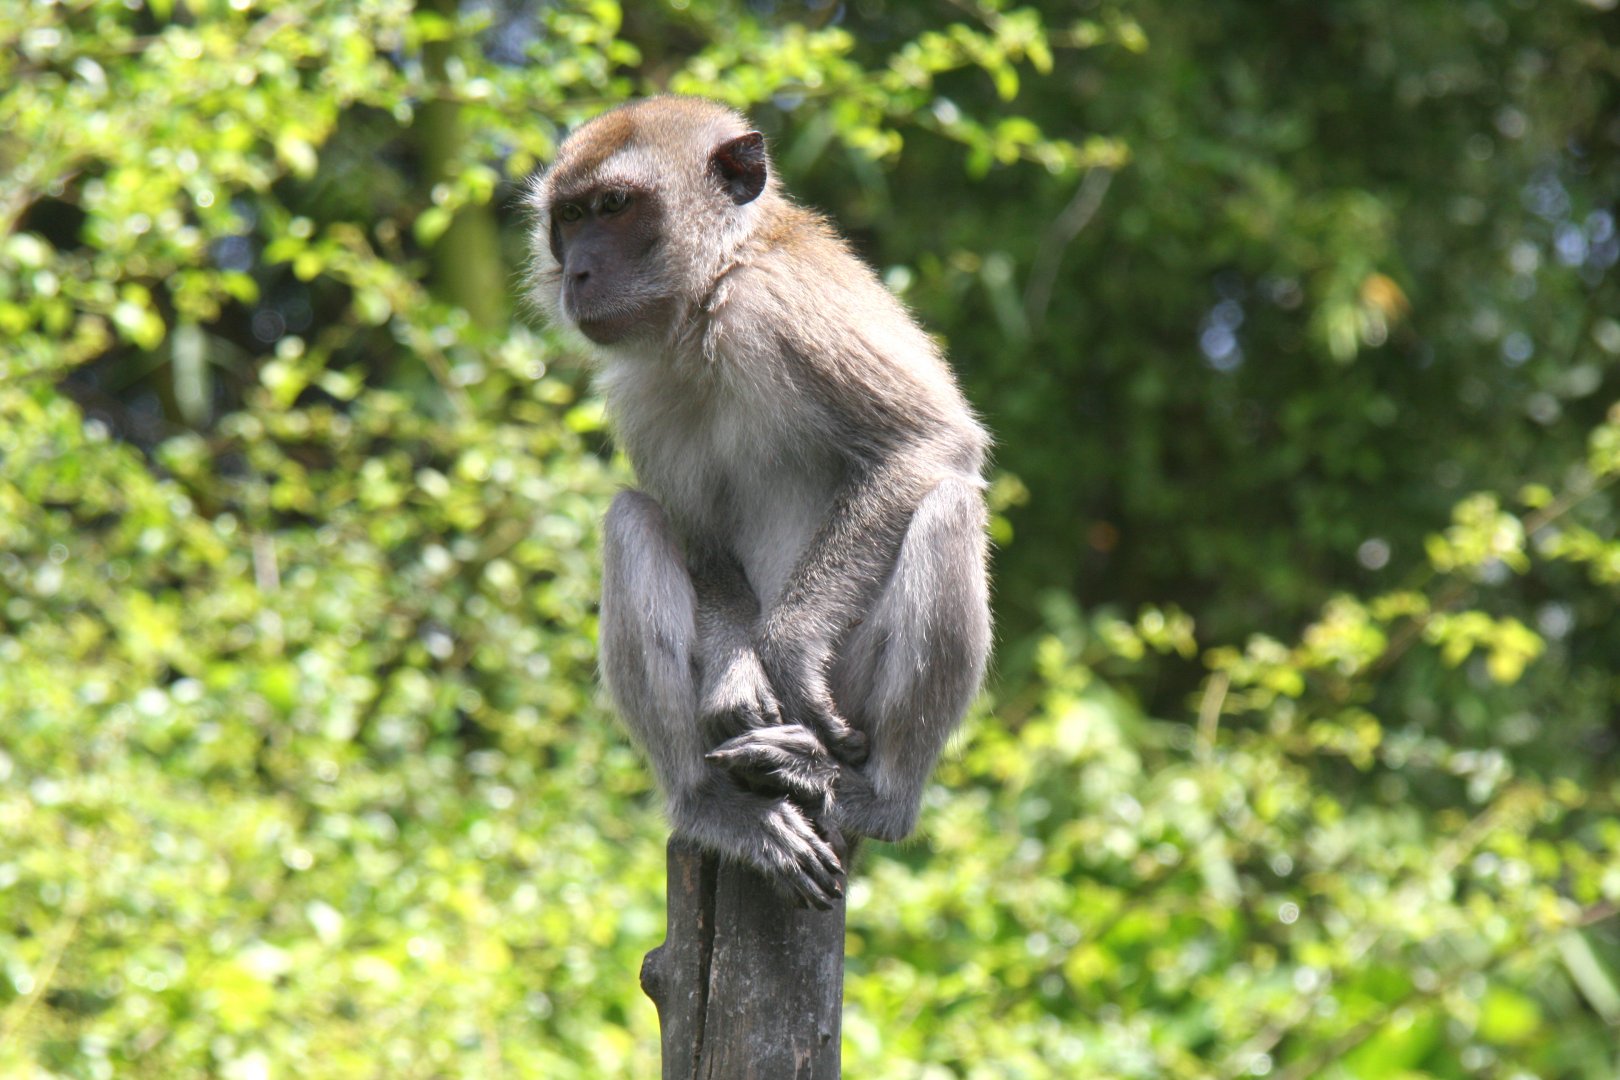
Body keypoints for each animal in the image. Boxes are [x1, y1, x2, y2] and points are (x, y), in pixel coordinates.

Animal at [526, 96, 991, 909]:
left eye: (614, 207)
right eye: (571, 216)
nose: (577, 272)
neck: (708, 300)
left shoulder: (784, 303)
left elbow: (928, 444)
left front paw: (787, 648)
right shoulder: (639, 390)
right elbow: (701, 541)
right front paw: (740, 673)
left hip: (851, 698)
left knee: (950, 506)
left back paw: (874, 795)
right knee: (631, 520)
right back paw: (712, 806)